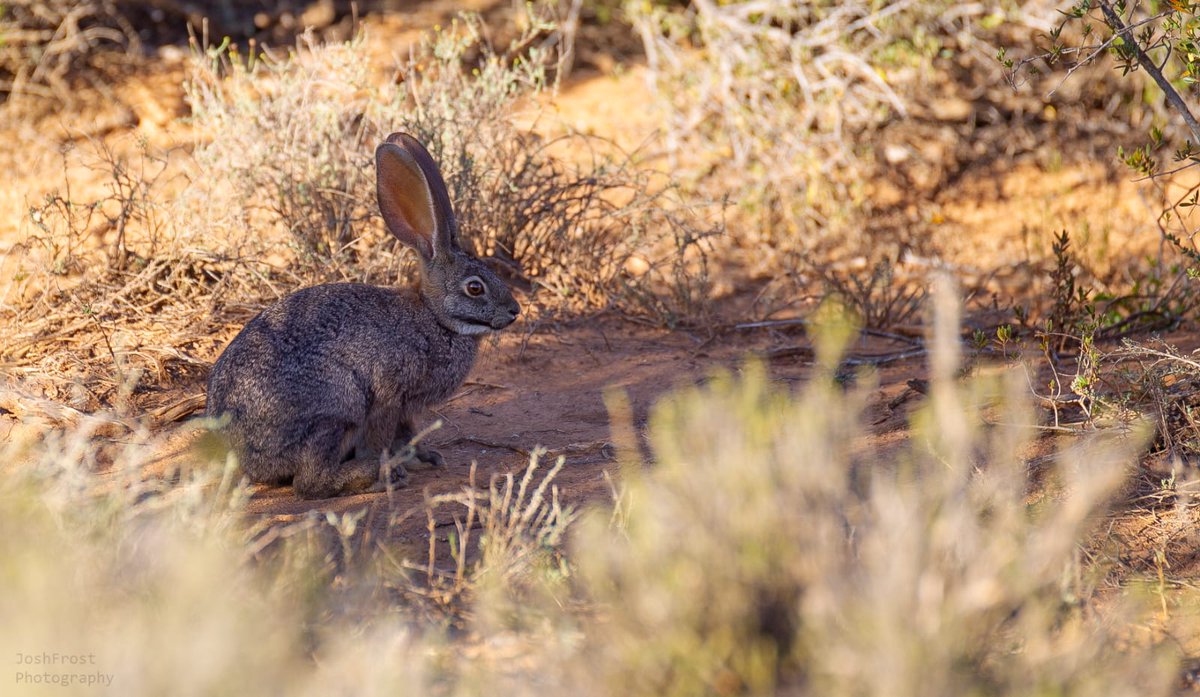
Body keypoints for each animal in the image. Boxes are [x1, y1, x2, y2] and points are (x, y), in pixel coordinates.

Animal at [205, 132, 521, 499]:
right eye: (474, 288)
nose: (514, 311)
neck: (436, 319)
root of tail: (238, 453)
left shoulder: (405, 410)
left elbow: (407, 433)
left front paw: (425, 457)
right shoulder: (388, 396)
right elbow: (383, 436)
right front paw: (392, 463)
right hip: (339, 404)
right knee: (309, 482)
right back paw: (377, 475)